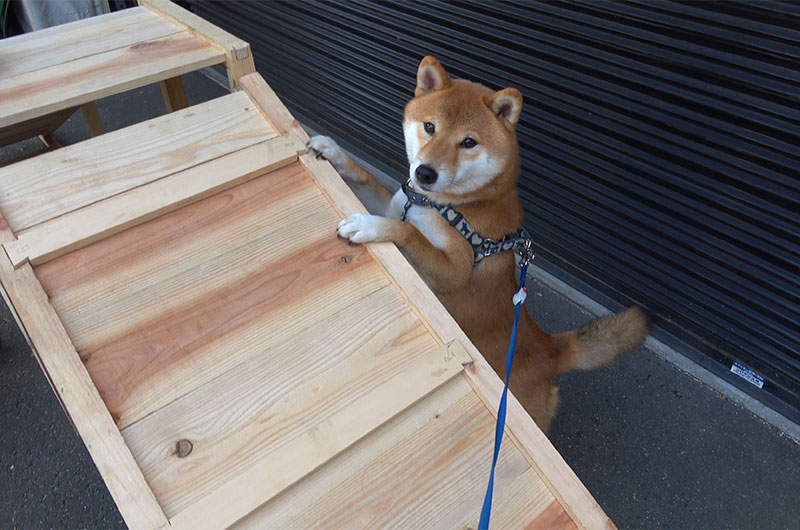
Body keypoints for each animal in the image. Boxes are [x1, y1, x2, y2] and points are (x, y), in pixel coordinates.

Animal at [308, 55, 648, 432]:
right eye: (430, 127)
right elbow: (368, 179)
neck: (449, 204)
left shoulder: (455, 270)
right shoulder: (397, 202)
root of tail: (549, 349)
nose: (425, 173)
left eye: (468, 142)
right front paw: (333, 151)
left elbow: (409, 233)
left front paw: (368, 226)